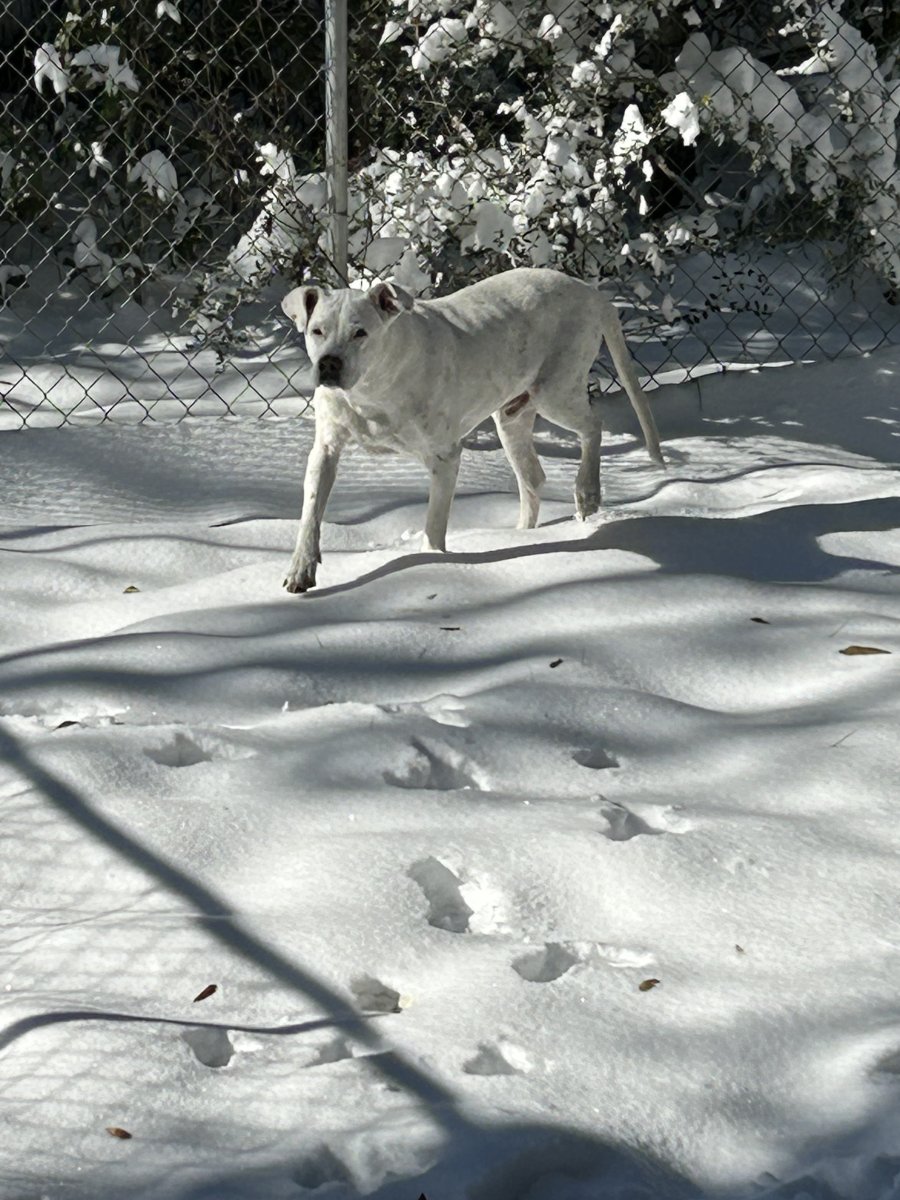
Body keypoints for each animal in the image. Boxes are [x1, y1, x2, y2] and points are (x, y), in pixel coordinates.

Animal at [280, 267, 663, 593]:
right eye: (317, 331)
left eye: (360, 333)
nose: (329, 364)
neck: (371, 391)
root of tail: (589, 291)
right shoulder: (325, 450)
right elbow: (310, 513)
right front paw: (300, 570)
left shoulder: (444, 456)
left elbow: (435, 522)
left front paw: (432, 561)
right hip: (511, 418)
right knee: (533, 477)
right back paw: (522, 535)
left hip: (557, 390)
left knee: (593, 426)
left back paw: (587, 492)